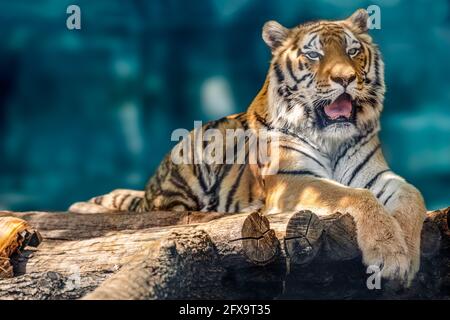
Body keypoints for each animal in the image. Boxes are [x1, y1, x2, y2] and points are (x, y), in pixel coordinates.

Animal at [69, 9, 426, 284]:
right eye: (314, 54)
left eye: (352, 51)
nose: (345, 79)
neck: (331, 137)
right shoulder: (292, 180)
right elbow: (354, 196)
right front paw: (389, 254)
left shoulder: (379, 176)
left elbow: (412, 197)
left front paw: (405, 253)